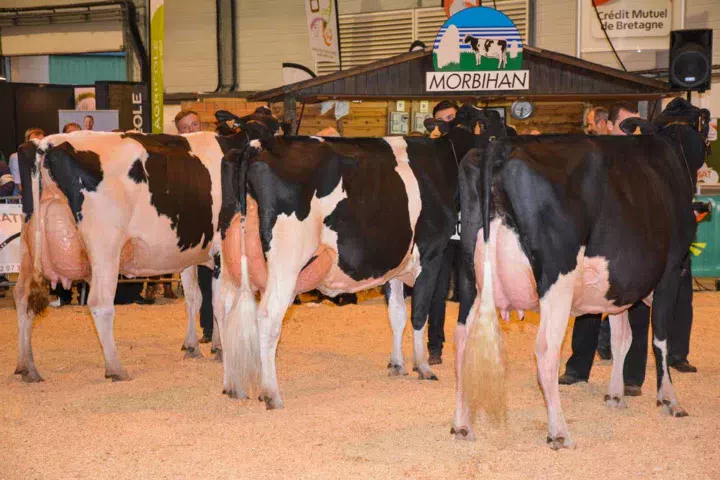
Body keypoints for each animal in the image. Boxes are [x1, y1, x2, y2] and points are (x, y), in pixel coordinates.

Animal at [452, 98, 712, 450]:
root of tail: (500, 145)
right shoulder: (672, 269)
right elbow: (660, 338)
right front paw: (669, 399)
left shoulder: (617, 286)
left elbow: (622, 338)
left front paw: (615, 395)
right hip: (557, 278)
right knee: (546, 348)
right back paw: (559, 431)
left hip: (469, 277)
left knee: (462, 343)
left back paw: (462, 425)